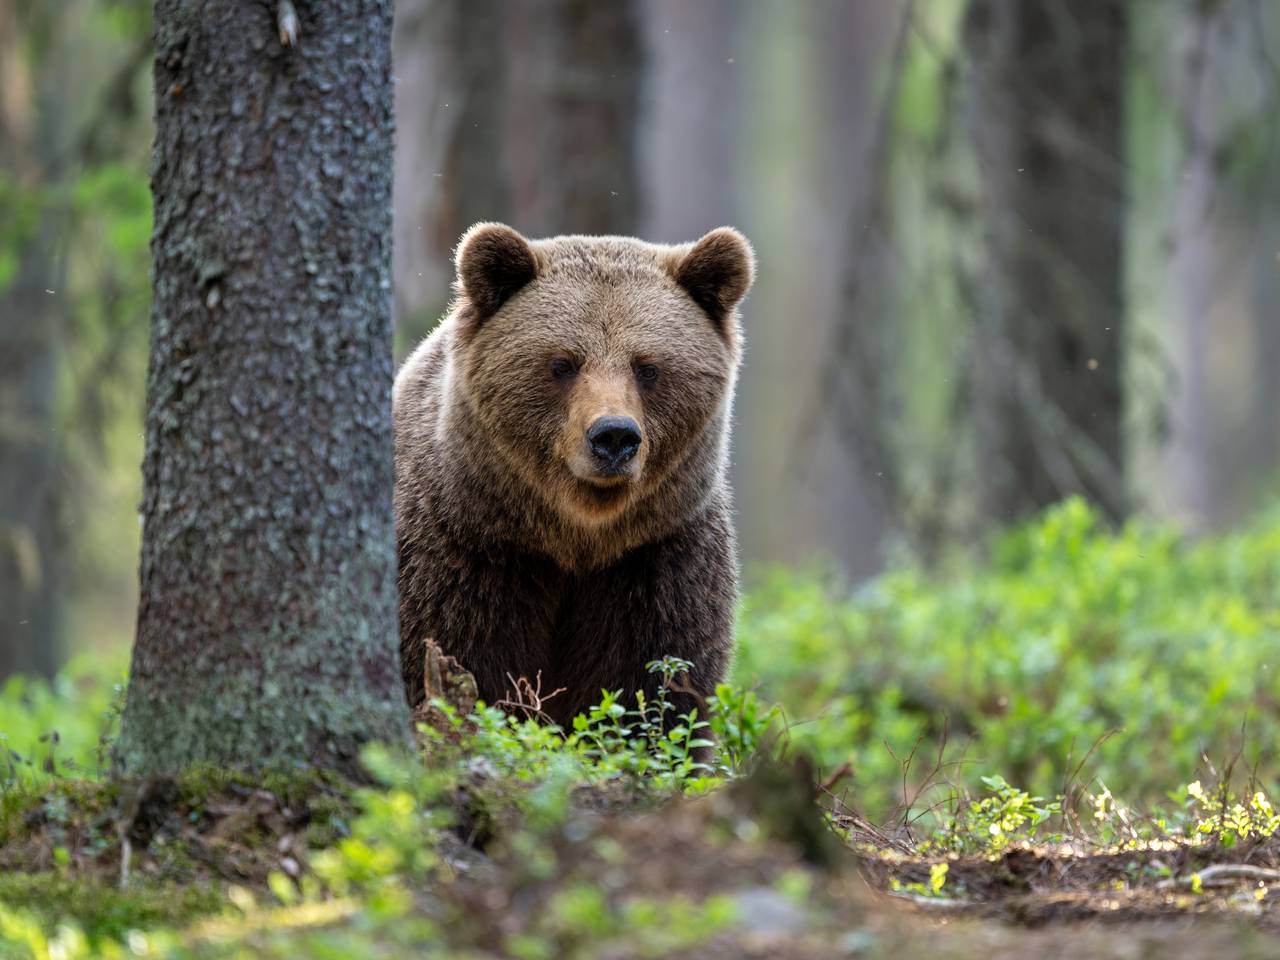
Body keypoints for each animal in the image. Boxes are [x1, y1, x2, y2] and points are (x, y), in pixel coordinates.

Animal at [393, 222, 754, 740]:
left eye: (648, 367)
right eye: (563, 363)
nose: (614, 436)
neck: (571, 540)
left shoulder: (656, 564)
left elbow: (657, 696)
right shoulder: (457, 558)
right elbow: (456, 661)